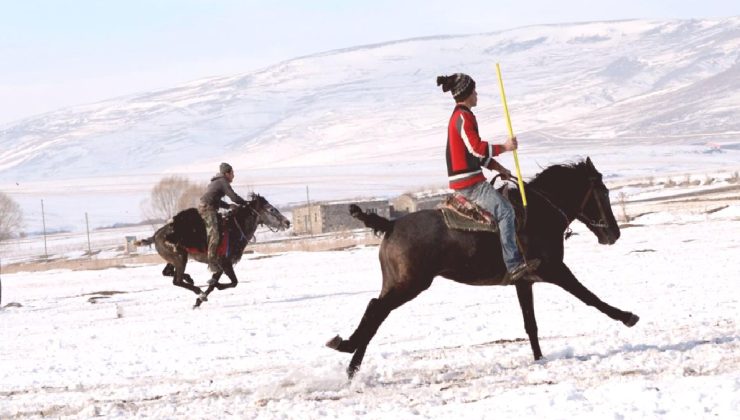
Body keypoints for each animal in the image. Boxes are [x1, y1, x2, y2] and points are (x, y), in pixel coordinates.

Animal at [135, 194, 290, 308]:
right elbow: (233, 282)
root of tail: (155, 236)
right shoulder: (225, 262)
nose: (287, 222)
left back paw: (190, 279)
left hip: (174, 259)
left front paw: (199, 300)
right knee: (176, 280)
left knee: (167, 272)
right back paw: (196, 288)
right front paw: (206, 293)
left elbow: (215, 283)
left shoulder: (221, 265)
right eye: (271, 209)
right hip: (180, 258)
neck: (234, 229)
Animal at [326, 157, 640, 378]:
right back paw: (346, 350)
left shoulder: (524, 280)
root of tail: (390, 224)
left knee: (375, 310)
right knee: (376, 310)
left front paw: (539, 359)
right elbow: (589, 297)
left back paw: (350, 362)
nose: (614, 234)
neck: (539, 212)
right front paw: (628, 317)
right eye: (603, 191)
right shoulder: (555, 270)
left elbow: (531, 323)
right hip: (410, 284)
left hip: (396, 283)